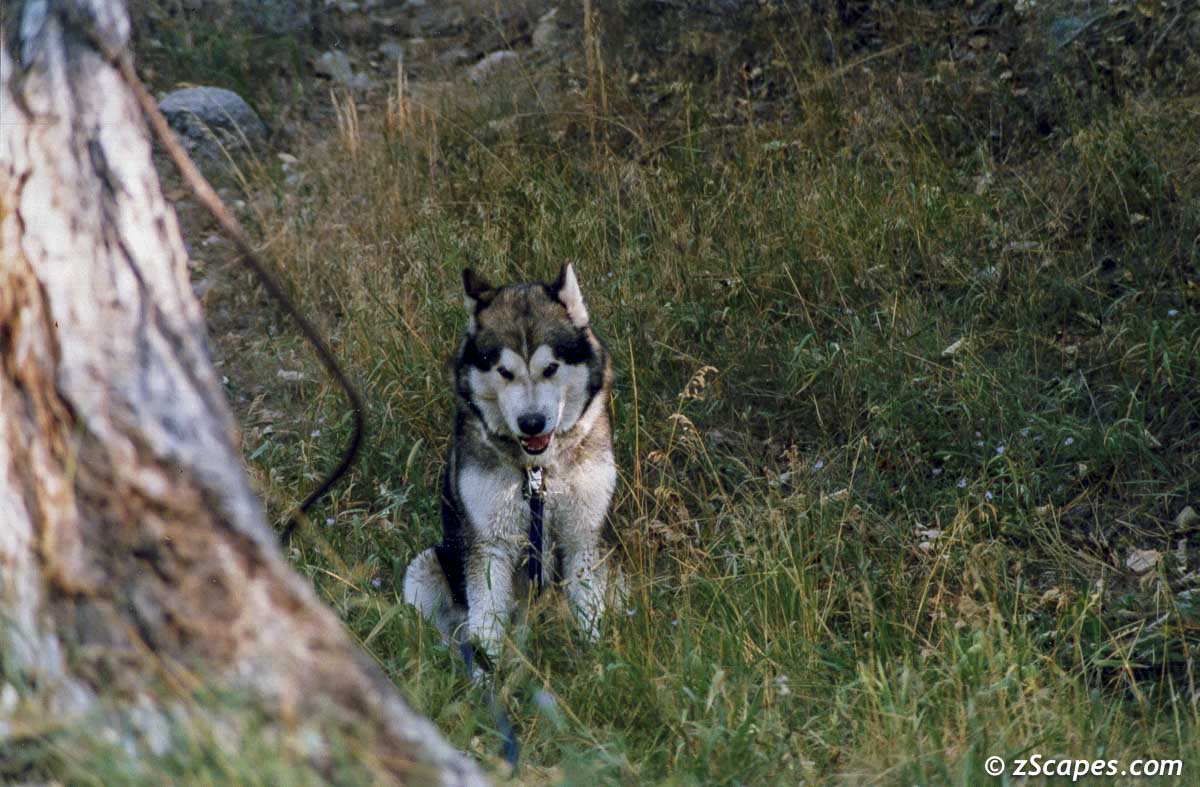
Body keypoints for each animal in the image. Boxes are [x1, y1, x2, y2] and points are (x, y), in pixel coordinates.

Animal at [403, 263, 619, 662]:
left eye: (551, 368)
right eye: (504, 372)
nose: (531, 422)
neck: (539, 472)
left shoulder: (583, 536)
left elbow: (589, 610)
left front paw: (596, 659)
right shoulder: (490, 545)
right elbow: (488, 618)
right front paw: (489, 670)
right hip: (424, 566)